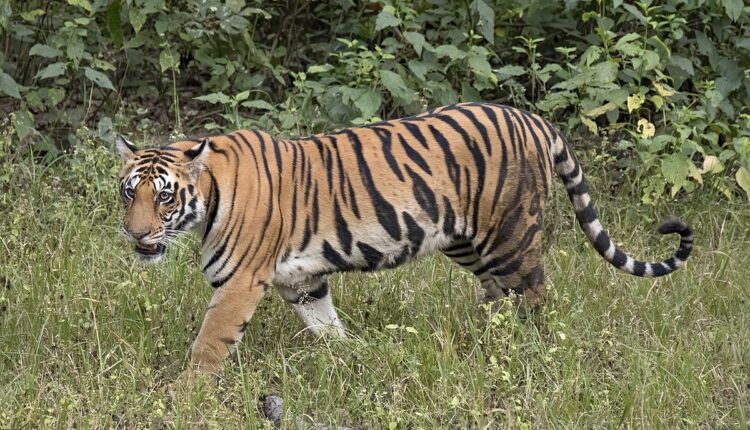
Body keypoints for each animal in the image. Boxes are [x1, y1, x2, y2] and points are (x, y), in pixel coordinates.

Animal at [115, 102, 692, 374]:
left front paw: (187, 396)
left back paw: (530, 352)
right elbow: (326, 325)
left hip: (510, 237)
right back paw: (484, 341)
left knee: (534, 297)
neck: (208, 197)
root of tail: (531, 118)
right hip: (467, 242)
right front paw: (351, 358)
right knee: (497, 295)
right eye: (128, 193)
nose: (135, 234)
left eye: (163, 197)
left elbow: (209, 344)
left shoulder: (239, 284)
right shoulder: (301, 281)